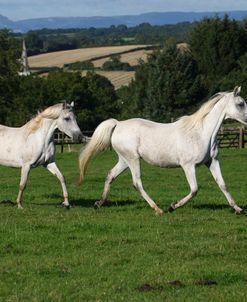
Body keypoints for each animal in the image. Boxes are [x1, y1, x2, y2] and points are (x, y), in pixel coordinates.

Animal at [78, 86, 247, 215]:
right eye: (240, 104)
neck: (202, 133)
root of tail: (118, 124)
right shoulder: (188, 166)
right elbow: (194, 190)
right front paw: (173, 206)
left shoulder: (212, 162)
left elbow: (223, 185)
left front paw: (238, 209)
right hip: (133, 159)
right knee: (137, 183)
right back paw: (158, 209)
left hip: (124, 160)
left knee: (110, 175)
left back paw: (99, 203)